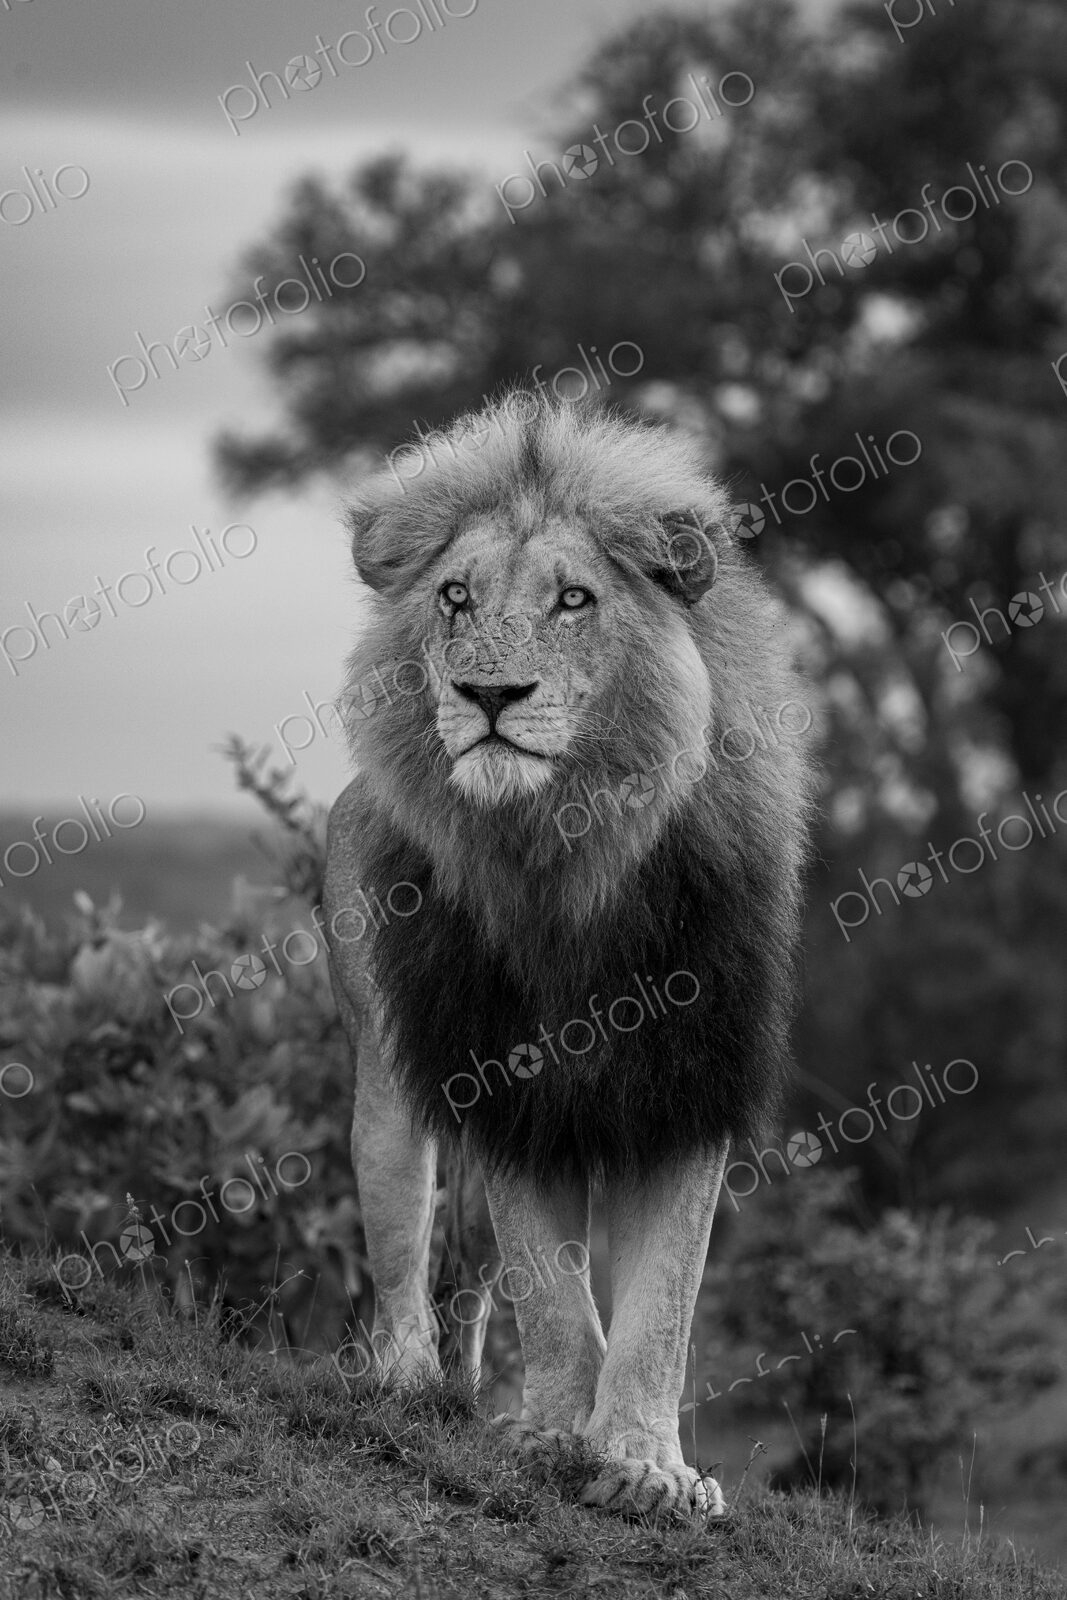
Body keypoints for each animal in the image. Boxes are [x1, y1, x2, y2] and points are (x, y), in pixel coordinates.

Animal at [323, 393, 812, 1518]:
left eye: (574, 599)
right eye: (455, 596)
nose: (487, 692)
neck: (564, 850)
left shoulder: (685, 1083)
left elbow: (662, 1301)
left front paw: (643, 1464)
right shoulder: (499, 1080)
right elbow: (549, 1289)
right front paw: (552, 1437)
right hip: (386, 1067)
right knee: (404, 1237)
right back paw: (407, 1382)